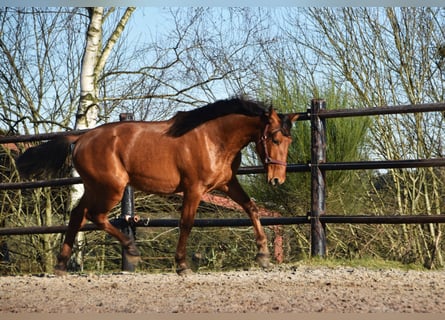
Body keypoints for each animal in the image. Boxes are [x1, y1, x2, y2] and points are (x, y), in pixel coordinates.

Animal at [15, 97, 298, 276]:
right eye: (274, 139)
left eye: (289, 141)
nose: (277, 180)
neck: (214, 137)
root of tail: (82, 137)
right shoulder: (194, 188)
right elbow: (186, 223)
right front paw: (182, 265)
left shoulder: (228, 184)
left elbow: (252, 209)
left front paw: (263, 256)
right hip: (111, 188)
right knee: (96, 215)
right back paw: (131, 251)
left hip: (96, 187)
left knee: (77, 215)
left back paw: (61, 266)